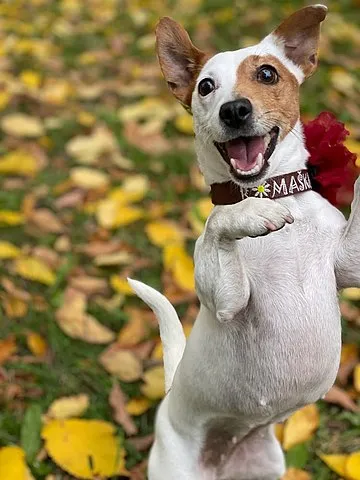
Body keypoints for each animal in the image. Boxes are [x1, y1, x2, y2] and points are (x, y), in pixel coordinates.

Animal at [128, 4, 358, 480]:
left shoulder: (350, 262)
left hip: (268, 464)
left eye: (267, 74)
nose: (234, 110)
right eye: (205, 86)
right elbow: (222, 221)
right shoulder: (227, 300)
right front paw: (250, 215)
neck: (271, 189)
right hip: (174, 467)